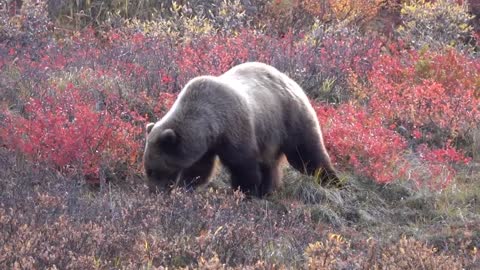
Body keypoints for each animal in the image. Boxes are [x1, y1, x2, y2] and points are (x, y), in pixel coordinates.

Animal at [142, 61, 342, 197]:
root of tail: (291, 80)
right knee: (271, 164)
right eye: (148, 169)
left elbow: (244, 165)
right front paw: (186, 187)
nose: (153, 191)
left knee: (306, 153)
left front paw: (246, 192)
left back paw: (332, 182)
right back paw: (269, 190)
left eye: (153, 170)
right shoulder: (205, 146)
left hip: (290, 118)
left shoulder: (235, 129)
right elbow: (200, 169)